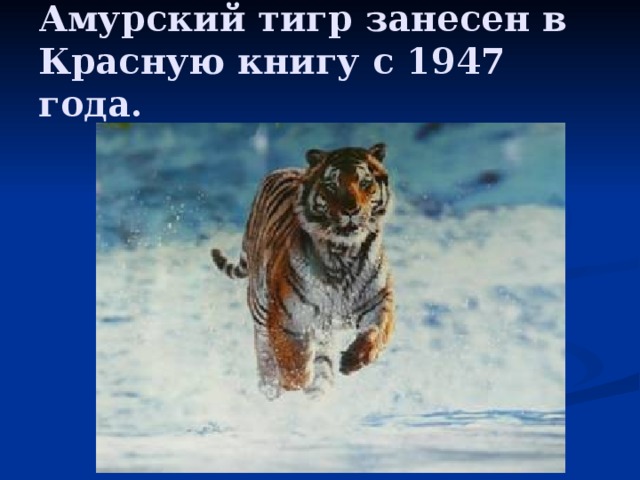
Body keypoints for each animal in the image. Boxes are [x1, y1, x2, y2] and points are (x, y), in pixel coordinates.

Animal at [210, 143, 394, 399]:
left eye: (365, 183)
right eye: (332, 185)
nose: (351, 210)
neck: (343, 254)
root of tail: (281, 169)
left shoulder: (379, 301)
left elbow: (378, 331)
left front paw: (354, 359)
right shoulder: (285, 318)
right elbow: (293, 366)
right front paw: (294, 385)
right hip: (260, 305)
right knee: (264, 349)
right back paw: (271, 387)